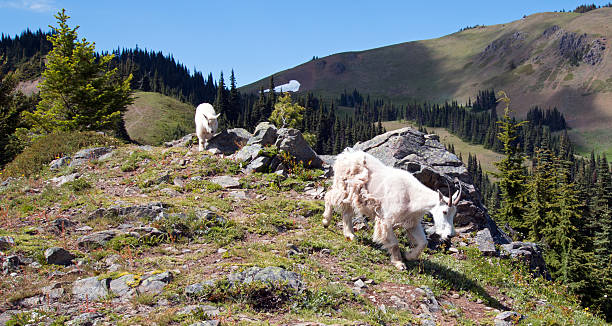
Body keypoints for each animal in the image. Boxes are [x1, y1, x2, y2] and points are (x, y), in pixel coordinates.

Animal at [322, 149, 462, 268]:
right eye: (444, 211)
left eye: (454, 214)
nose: (450, 235)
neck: (412, 196)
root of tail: (343, 155)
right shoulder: (386, 219)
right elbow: (394, 243)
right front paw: (399, 263)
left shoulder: (411, 222)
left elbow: (423, 242)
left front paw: (408, 256)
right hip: (343, 187)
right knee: (329, 197)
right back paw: (326, 221)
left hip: (353, 194)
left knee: (347, 212)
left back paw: (350, 235)